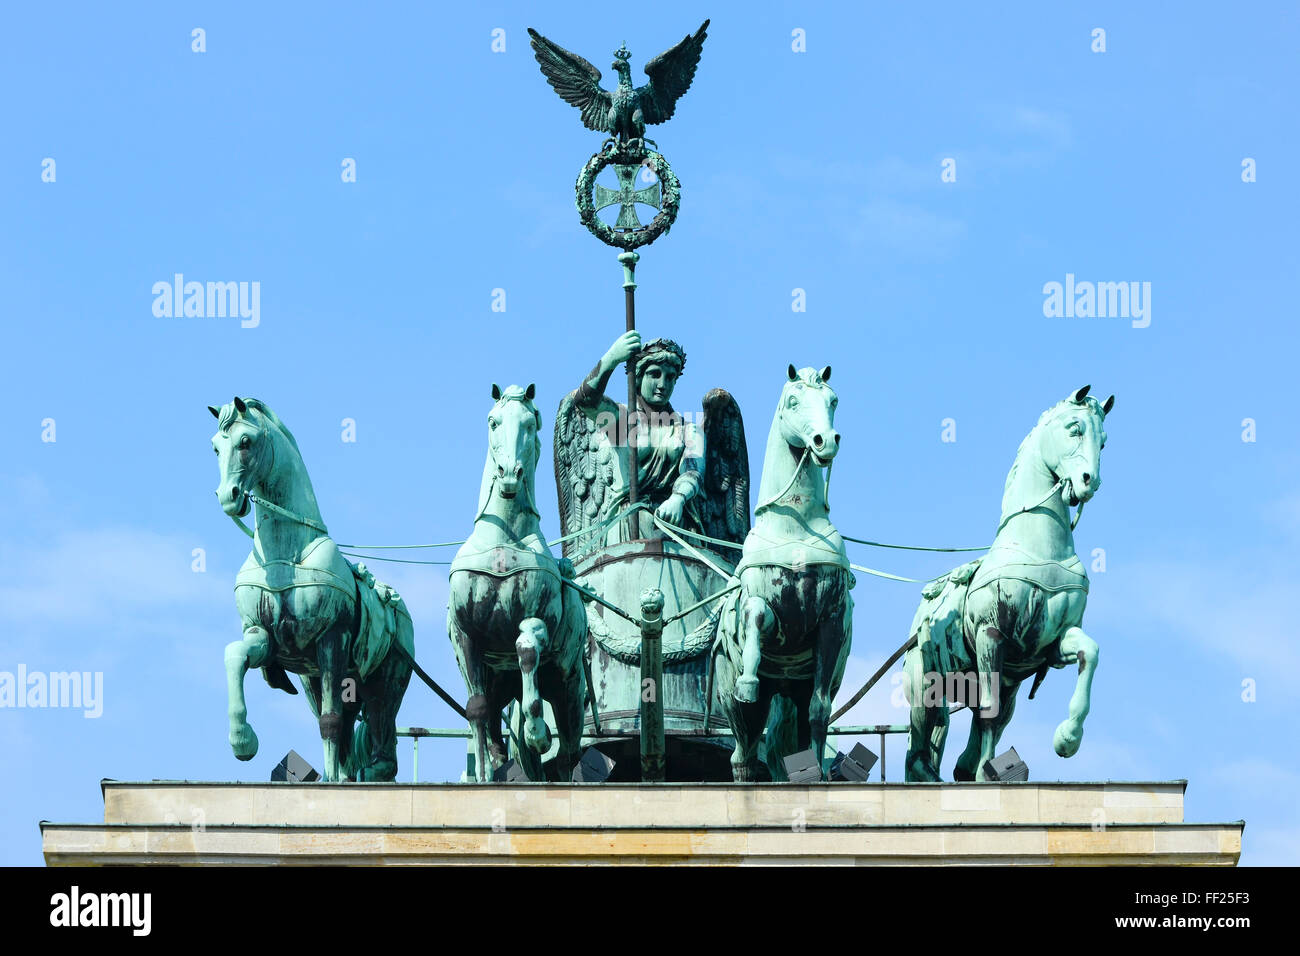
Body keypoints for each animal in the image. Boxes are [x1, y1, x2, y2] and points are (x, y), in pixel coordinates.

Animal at [209, 400, 410, 780]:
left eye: (245, 441)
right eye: (215, 447)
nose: (228, 498)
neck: (287, 553)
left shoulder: (333, 638)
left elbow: (330, 721)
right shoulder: (261, 635)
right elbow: (234, 654)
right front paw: (242, 740)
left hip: (386, 682)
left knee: (379, 731)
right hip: (316, 682)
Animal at [449, 385, 587, 780]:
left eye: (530, 423)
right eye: (493, 421)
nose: (509, 473)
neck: (503, 539)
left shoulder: (537, 619)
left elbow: (526, 650)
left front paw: (537, 731)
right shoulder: (465, 636)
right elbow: (476, 708)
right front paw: (481, 776)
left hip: (570, 689)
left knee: (568, 750)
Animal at [712, 361, 852, 780]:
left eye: (833, 400)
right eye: (793, 401)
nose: (825, 441)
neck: (795, 529)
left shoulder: (831, 621)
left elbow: (819, 712)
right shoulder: (766, 608)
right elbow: (756, 614)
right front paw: (749, 677)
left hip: (793, 694)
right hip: (740, 712)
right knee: (742, 757)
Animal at [909, 385, 1112, 780]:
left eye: (1104, 441)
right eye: (1074, 428)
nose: (1089, 482)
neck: (1037, 547)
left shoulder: (1051, 644)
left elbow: (1090, 653)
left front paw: (1068, 737)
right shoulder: (990, 635)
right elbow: (988, 713)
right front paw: (985, 776)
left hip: (1007, 686)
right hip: (925, 683)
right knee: (921, 743)